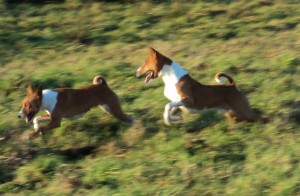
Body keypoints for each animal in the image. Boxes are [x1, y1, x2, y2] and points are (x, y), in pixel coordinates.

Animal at [136, 46, 268, 125]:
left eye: (146, 62)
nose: (136, 72)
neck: (170, 78)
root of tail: (233, 86)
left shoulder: (188, 99)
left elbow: (168, 106)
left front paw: (169, 121)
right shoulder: (177, 101)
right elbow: (170, 109)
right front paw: (174, 119)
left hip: (243, 110)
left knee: (261, 118)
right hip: (232, 114)